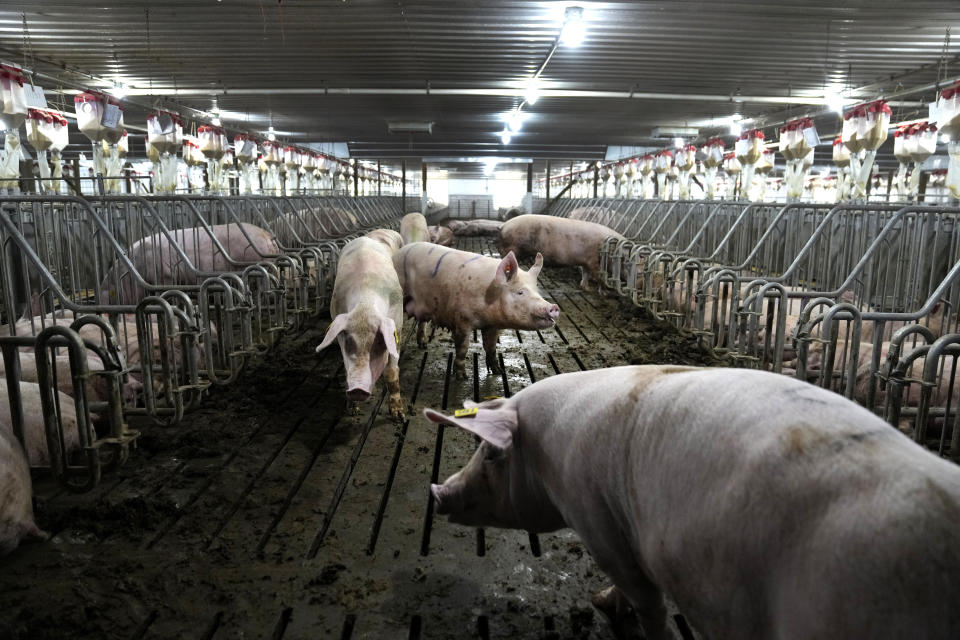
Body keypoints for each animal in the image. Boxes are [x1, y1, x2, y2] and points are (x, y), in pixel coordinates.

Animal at [316, 235, 404, 420]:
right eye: (348, 343)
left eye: (379, 345)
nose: (357, 389)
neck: (365, 303)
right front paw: (352, 410)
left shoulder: (397, 325)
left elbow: (391, 371)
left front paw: (399, 416)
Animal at [426, 364, 960, 640]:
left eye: (491, 454)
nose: (437, 492)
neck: (548, 457)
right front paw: (601, 601)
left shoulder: (597, 519)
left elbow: (645, 598)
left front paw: (609, 610)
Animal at [498, 215, 628, 290]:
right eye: (625, 263)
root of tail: (504, 225)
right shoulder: (593, 259)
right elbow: (598, 274)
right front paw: (605, 292)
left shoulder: (585, 261)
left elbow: (585, 274)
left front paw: (586, 288)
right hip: (512, 246)